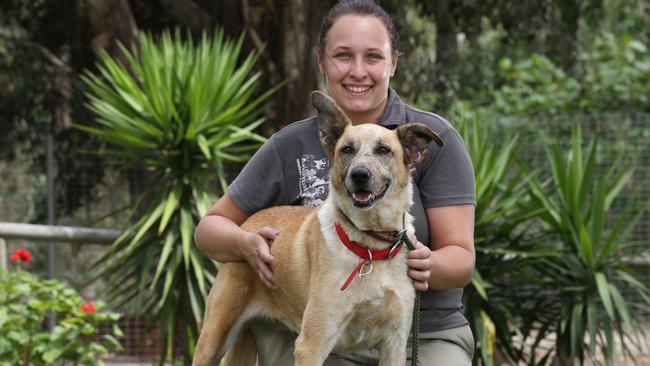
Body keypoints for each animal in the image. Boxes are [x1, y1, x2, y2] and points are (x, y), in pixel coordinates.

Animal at [192, 91, 442, 366]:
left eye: (383, 150)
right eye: (347, 149)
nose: (359, 175)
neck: (370, 245)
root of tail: (248, 223)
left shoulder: (394, 345)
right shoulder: (312, 344)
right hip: (213, 339)